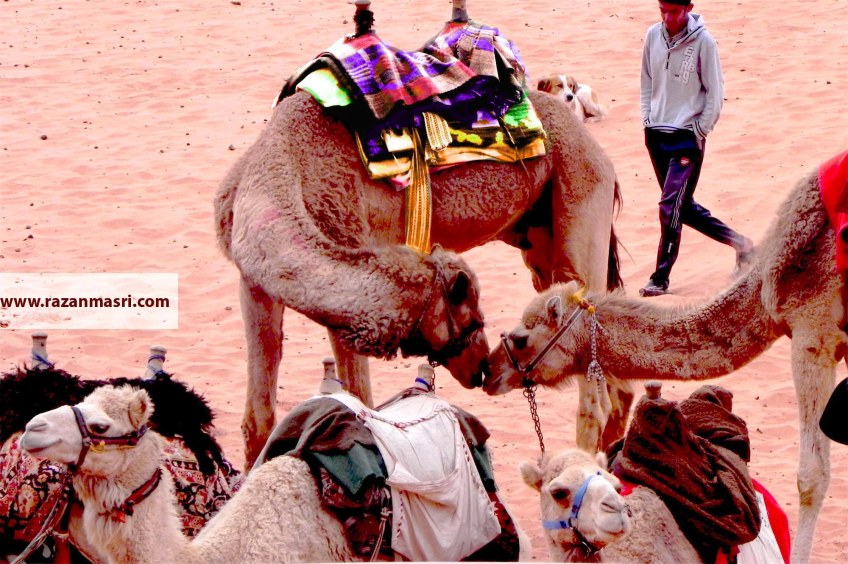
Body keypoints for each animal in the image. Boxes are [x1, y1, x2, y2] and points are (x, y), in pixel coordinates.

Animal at [214, 85, 624, 466]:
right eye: (470, 318)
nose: (481, 368)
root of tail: (595, 148)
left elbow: (361, 402)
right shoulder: (255, 285)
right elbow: (259, 420)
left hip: (579, 198)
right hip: (539, 240)